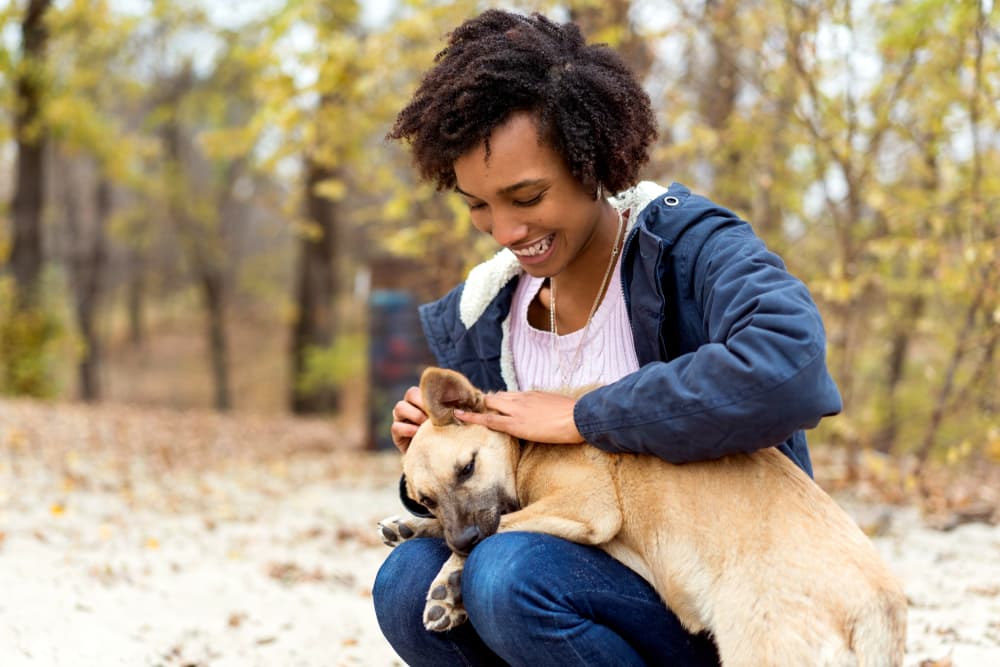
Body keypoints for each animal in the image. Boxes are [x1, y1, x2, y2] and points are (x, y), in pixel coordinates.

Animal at [376, 368, 908, 664]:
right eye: (425, 499)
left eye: (467, 468)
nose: (461, 540)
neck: (525, 448)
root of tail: (881, 607)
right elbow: (473, 526)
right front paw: (412, 528)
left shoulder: (585, 505)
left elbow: (499, 528)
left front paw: (449, 582)